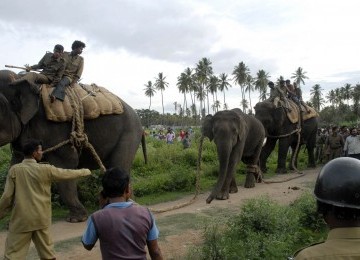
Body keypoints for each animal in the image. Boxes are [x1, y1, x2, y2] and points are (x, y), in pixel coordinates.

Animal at [0, 70, 147, 222]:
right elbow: (14, 166)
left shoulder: (54, 129)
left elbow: (68, 163)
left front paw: (76, 219)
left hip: (129, 133)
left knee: (119, 164)